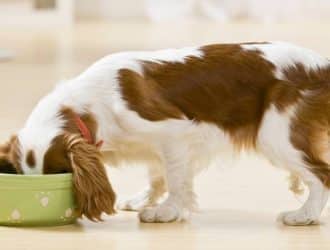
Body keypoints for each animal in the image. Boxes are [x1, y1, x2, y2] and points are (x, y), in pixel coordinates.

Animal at [0, 42, 330, 226]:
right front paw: (145, 199)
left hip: (275, 136)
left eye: (60, 173)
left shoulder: (173, 133)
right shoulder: (153, 146)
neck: (88, 106)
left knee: (321, 175)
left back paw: (304, 216)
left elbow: (175, 179)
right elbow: (156, 174)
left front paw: (166, 212)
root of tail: (322, 64)